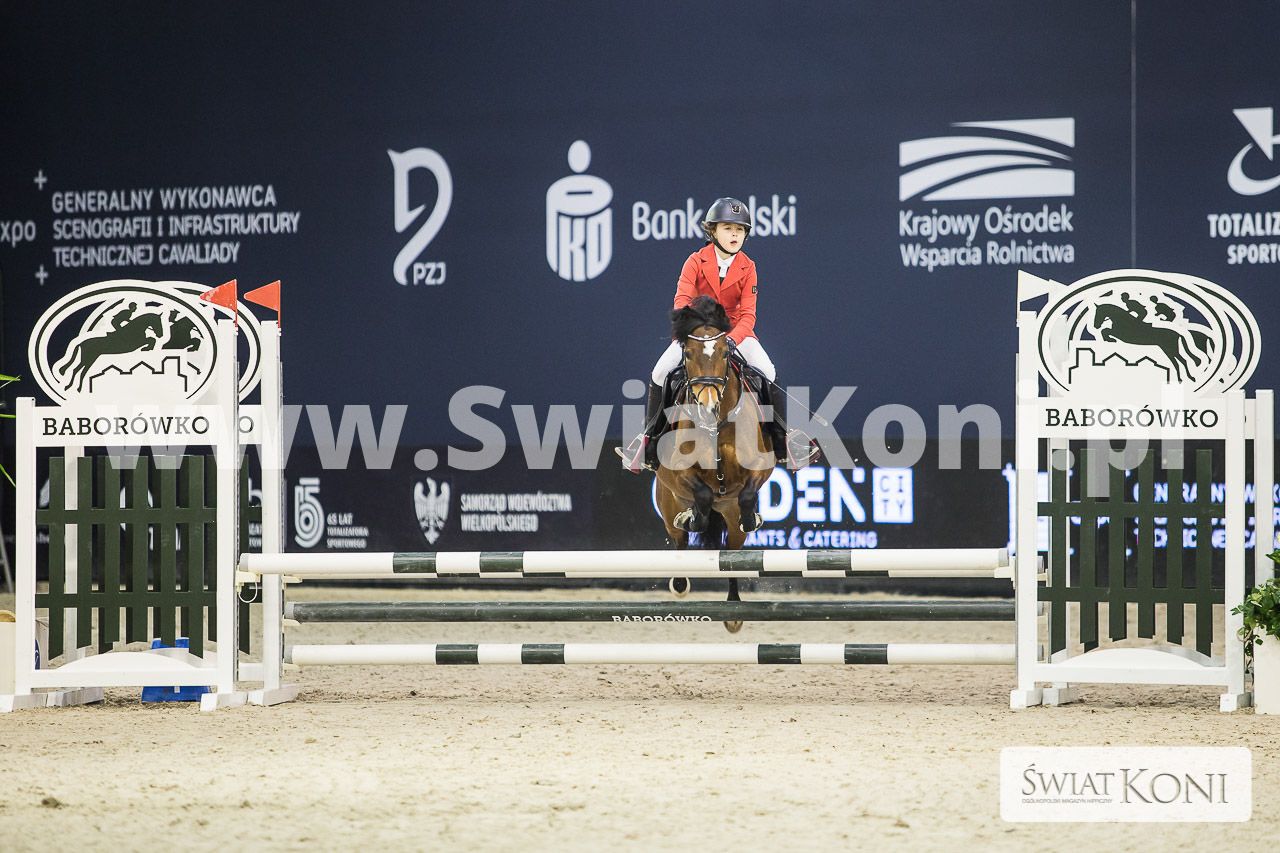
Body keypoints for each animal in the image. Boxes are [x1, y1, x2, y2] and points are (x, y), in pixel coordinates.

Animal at [654, 296, 775, 631]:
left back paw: (733, 610)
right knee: (680, 540)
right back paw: (680, 577)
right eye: (688, 354)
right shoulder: (676, 471)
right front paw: (693, 517)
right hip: (667, 503)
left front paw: (751, 518)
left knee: (732, 553)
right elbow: (702, 494)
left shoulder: (761, 467)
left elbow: (747, 494)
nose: (708, 407)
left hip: (730, 519)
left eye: (723, 352)